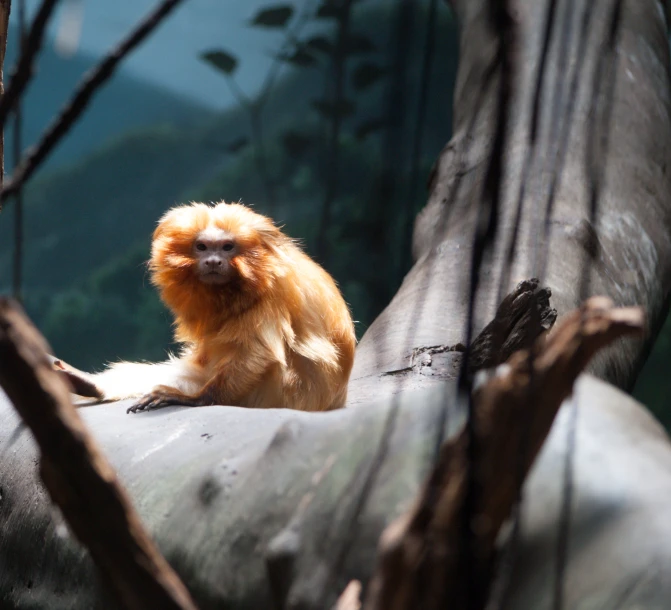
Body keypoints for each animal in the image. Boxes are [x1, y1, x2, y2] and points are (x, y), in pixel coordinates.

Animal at [59, 201, 356, 414]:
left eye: (227, 247)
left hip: (283, 397)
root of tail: (336, 401)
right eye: (202, 247)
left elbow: (260, 354)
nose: (213, 261)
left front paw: (196, 400)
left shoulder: (271, 295)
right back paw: (92, 386)